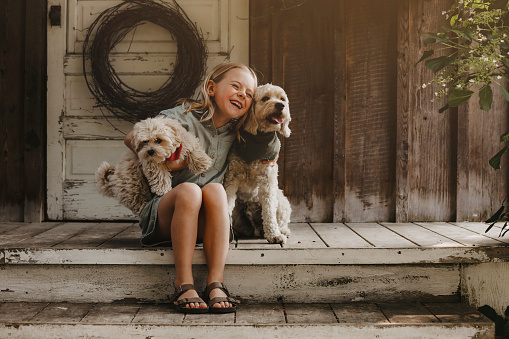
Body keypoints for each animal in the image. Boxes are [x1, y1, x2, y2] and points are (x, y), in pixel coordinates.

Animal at [224, 84, 292, 244]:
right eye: (265, 98)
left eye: (282, 99)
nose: (280, 105)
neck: (258, 139)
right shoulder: (232, 178)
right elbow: (227, 205)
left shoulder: (268, 181)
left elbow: (269, 211)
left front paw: (274, 234)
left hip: (282, 201)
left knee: (281, 220)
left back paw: (283, 231)